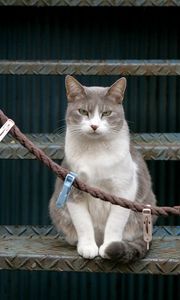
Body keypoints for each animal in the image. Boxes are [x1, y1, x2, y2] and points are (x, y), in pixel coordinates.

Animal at [48, 76, 157, 262]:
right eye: (83, 111)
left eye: (106, 113)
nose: (94, 126)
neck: (95, 151)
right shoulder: (73, 189)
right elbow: (83, 223)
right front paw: (87, 247)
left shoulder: (123, 191)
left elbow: (115, 223)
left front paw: (109, 247)